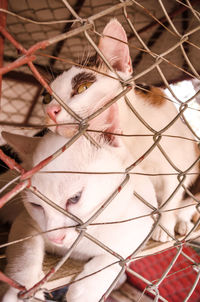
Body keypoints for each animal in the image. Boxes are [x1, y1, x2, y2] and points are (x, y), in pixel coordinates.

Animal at [1, 131, 158, 302]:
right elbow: (26, 250)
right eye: (36, 205)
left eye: (75, 198)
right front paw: (24, 287)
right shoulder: (26, 221)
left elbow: (119, 258)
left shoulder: (141, 225)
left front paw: (87, 291)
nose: (56, 238)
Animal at [42, 18, 200, 242]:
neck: (130, 137)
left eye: (83, 87)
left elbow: (171, 198)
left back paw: (182, 224)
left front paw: (164, 226)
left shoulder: (181, 164)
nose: (50, 111)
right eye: (46, 98)